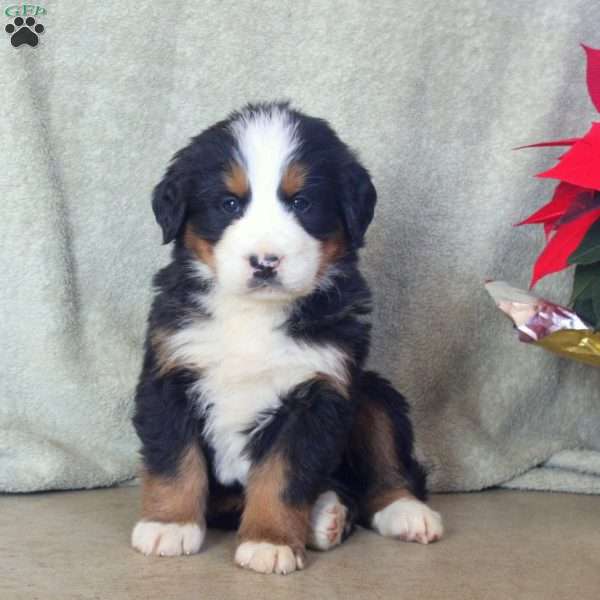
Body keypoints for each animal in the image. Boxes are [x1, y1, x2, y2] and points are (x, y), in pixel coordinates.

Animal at [131, 101, 440, 576]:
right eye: (229, 203)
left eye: (301, 203)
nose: (265, 261)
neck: (253, 315)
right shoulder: (171, 371)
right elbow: (174, 460)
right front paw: (169, 525)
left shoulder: (316, 391)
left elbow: (282, 475)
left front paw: (270, 541)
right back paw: (327, 516)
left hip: (371, 391)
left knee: (386, 463)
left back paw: (401, 513)